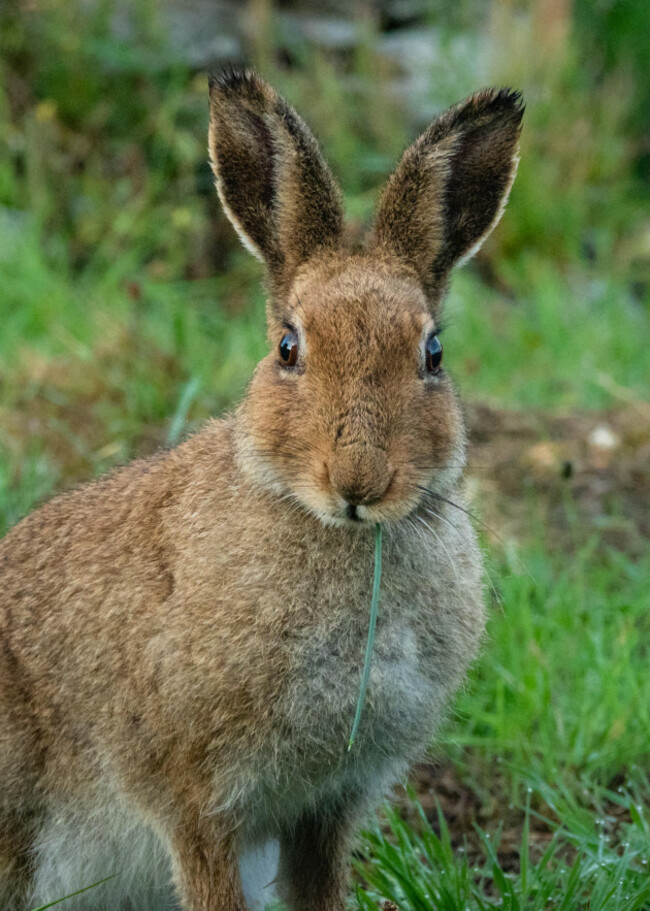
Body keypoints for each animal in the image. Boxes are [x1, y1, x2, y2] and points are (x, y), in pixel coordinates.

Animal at [0, 68, 523, 911]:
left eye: (434, 353)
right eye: (288, 347)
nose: (360, 481)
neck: (335, 531)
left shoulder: (326, 804)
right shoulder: (194, 801)